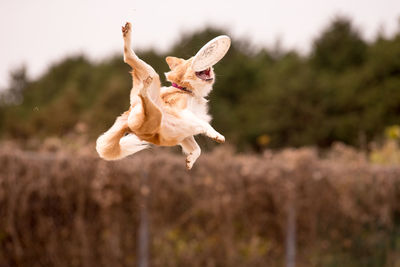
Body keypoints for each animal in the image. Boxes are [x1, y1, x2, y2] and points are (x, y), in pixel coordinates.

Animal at [95, 23, 223, 170]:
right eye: (192, 61)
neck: (188, 90)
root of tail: (127, 115)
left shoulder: (185, 135)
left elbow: (197, 148)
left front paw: (190, 160)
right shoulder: (183, 113)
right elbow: (204, 123)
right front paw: (216, 135)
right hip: (155, 106)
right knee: (129, 61)